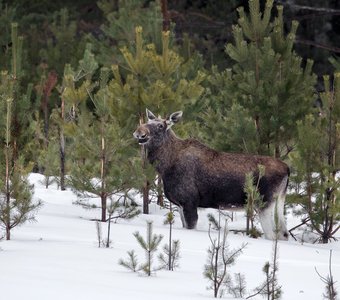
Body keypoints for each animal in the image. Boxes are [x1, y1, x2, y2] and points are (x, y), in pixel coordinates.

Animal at [133, 109, 290, 240]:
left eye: (160, 126)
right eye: (147, 121)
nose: (139, 132)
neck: (165, 167)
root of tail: (288, 169)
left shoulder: (190, 201)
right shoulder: (180, 204)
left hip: (264, 203)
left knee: (273, 235)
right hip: (278, 201)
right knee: (283, 233)